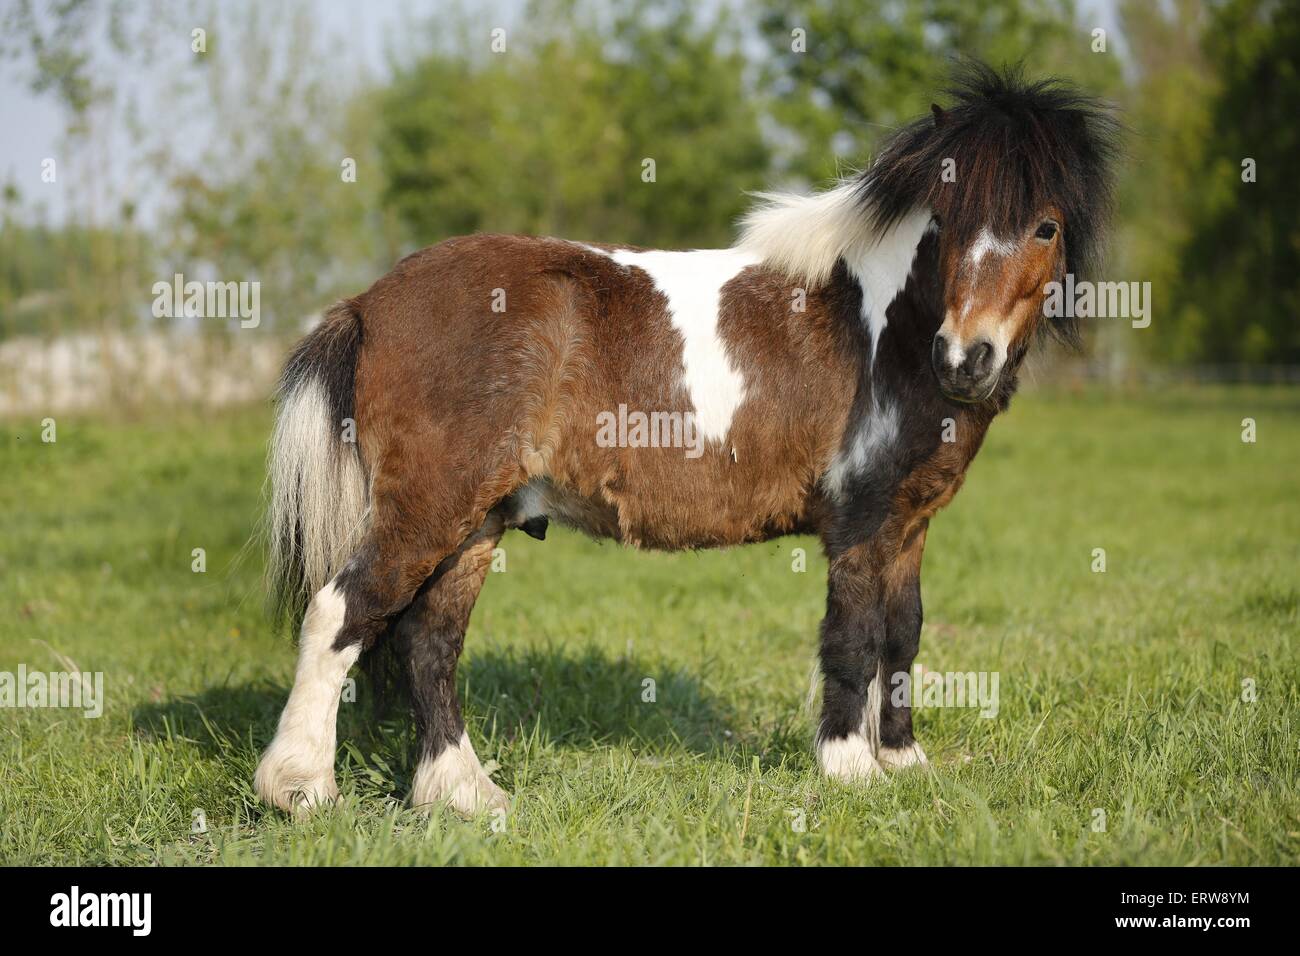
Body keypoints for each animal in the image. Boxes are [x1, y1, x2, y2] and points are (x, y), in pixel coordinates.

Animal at [250, 65, 1118, 816]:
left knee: (428, 643)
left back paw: (465, 795)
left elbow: (902, 636)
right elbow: (853, 637)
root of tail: (367, 303)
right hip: (429, 507)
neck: (885, 329)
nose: (966, 359)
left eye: (1045, 226)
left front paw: (904, 764)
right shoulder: (860, 523)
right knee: (340, 613)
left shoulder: (909, 523)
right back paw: (300, 789)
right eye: (949, 221)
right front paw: (849, 770)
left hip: (476, 520)